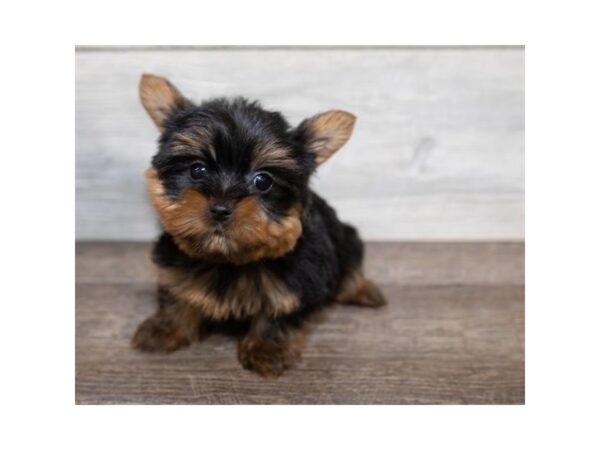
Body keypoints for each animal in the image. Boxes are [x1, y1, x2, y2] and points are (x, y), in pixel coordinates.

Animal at [131, 74, 384, 376]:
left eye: (262, 181)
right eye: (197, 170)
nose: (220, 208)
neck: (228, 260)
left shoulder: (299, 278)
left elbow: (280, 308)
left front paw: (267, 350)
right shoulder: (175, 262)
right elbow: (175, 292)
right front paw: (165, 329)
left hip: (346, 238)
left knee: (351, 266)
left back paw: (364, 290)